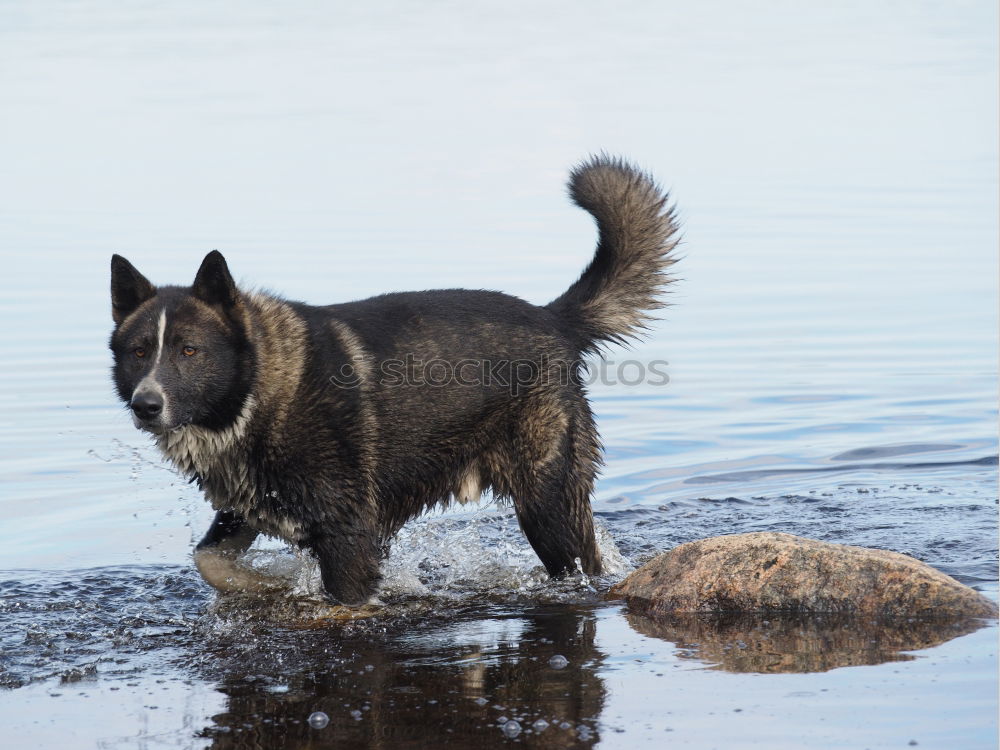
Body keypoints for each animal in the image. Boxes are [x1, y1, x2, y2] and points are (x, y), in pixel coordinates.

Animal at [107, 156, 680, 608]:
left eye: (189, 351)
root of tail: (551, 317)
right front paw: (266, 585)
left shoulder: (348, 536)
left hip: (547, 505)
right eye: (139, 352)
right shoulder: (250, 507)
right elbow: (211, 562)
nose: (145, 405)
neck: (260, 393)